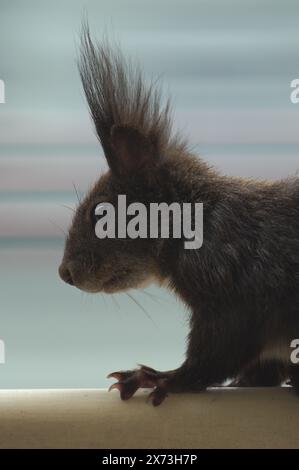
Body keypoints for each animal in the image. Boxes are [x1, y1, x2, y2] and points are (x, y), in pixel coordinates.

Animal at [58, 25, 299, 406]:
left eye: (100, 214)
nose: (65, 273)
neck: (199, 221)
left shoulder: (235, 292)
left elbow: (215, 356)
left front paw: (160, 378)